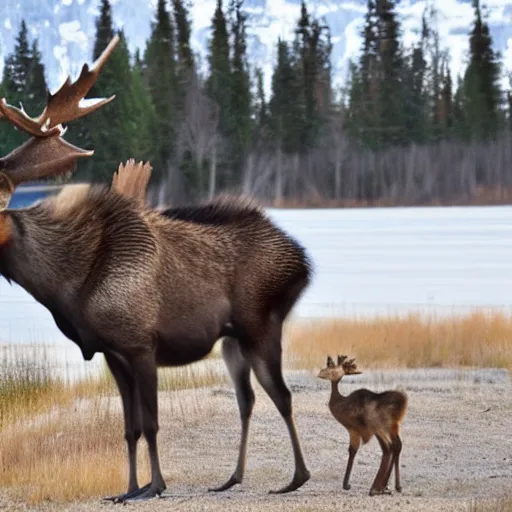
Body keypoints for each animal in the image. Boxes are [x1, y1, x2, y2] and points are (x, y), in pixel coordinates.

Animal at [0, 35, 312, 500]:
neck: (64, 287)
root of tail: (302, 259)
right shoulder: (112, 354)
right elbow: (128, 428)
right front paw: (127, 488)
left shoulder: (140, 344)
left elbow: (150, 424)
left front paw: (156, 486)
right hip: (231, 340)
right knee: (248, 399)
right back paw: (233, 477)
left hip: (261, 323)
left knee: (283, 395)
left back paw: (296, 477)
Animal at [316, 356, 408, 496]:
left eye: (333, 368)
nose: (320, 373)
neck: (339, 404)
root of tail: (401, 404)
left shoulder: (354, 429)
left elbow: (352, 450)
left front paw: (346, 485)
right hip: (394, 426)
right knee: (396, 445)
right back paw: (393, 486)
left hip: (379, 425)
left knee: (390, 446)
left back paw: (377, 488)